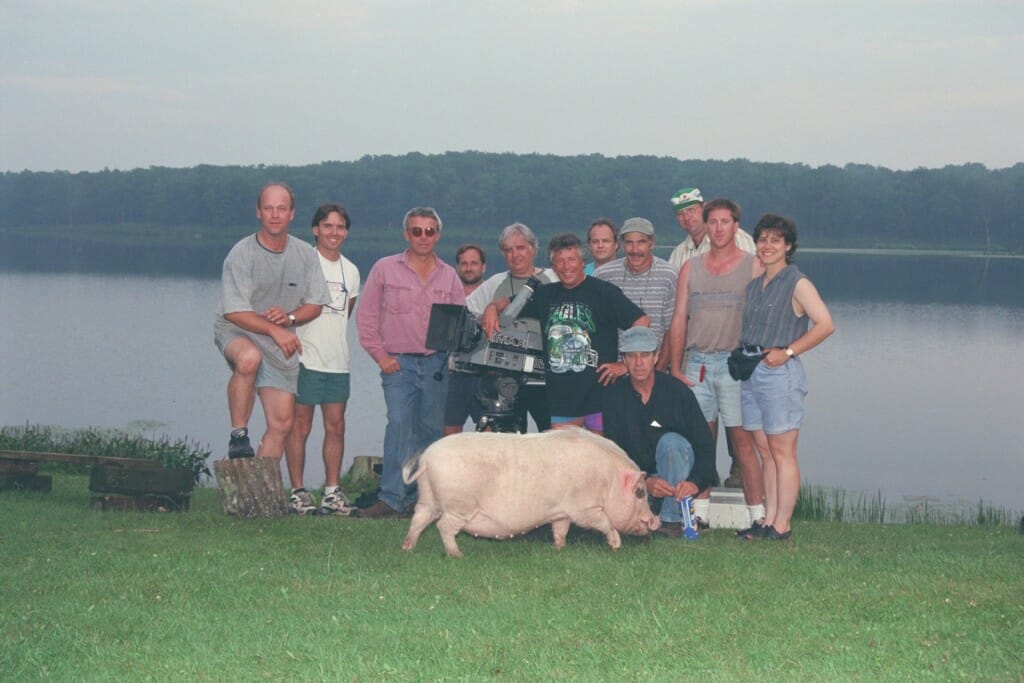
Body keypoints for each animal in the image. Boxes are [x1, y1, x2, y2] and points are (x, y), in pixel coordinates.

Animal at [395, 430, 659, 557]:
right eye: (640, 493)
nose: (656, 521)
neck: (609, 479)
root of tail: (426, 459)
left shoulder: (561, 511)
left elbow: (560, 529)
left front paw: (559, 549)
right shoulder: (584, 507)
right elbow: (604, 522)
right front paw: (616, 545)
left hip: (428, 498)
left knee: (418, 520)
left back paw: (407, 548)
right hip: (459, 505)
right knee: (444, 527)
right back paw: (457, 555)